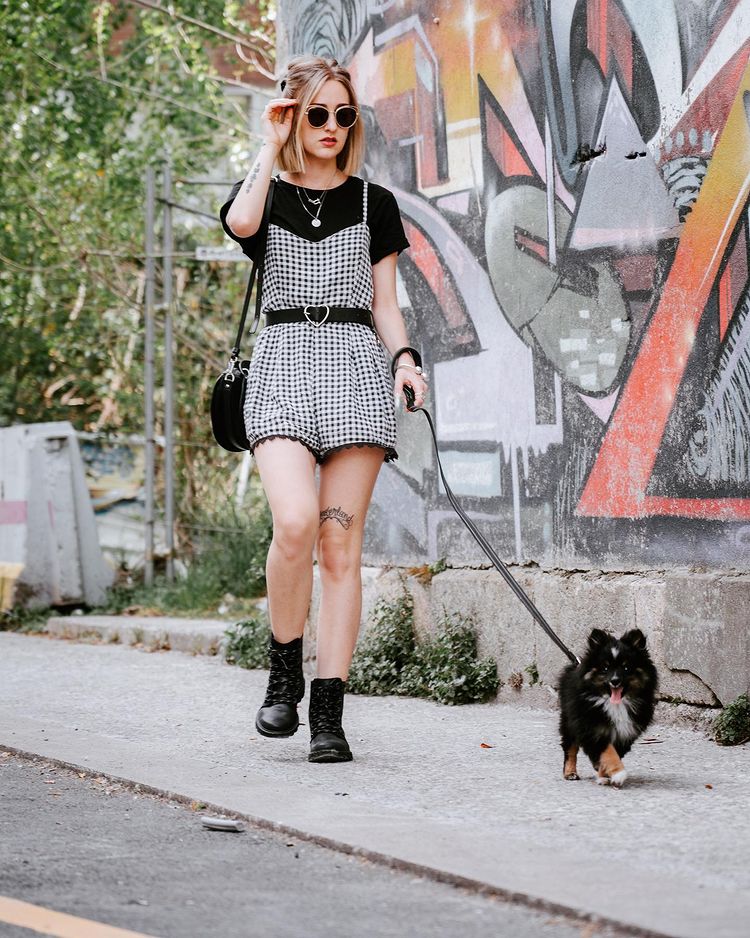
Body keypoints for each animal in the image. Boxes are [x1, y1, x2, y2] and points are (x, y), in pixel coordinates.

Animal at [560, 628, 656, 784]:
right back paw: (570, 773)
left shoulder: (625, 733)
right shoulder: (592, 729)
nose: (615, 681)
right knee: (570, 747)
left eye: (626, 667)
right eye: (605, 668)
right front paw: (618, 773)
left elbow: (614, 753)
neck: (615, 705)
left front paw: (604, 774)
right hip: (569, 721)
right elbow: (608, 752)